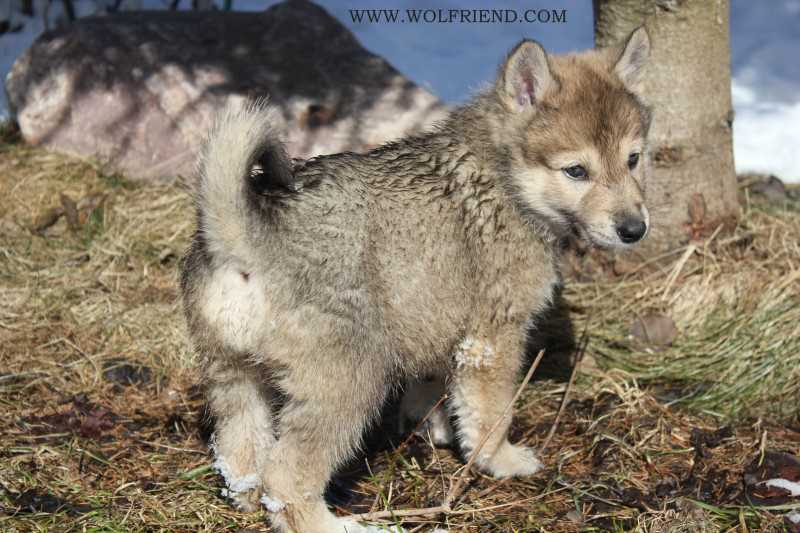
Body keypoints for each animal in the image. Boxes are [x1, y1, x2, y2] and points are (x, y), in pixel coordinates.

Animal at [180, 28, 648, 532]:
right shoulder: (493, 340)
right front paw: (500, 460)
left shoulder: (438, 322)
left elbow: (437, 387)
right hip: (351, 384)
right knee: (286, 478)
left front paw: (434, 428)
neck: (505, 177)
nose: (635, 229)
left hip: (233, 377)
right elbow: (492, 416)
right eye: (576, 171)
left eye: (634, 160)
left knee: (241, 452)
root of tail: (243, 236)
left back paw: (245, 499)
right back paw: (335, 524)